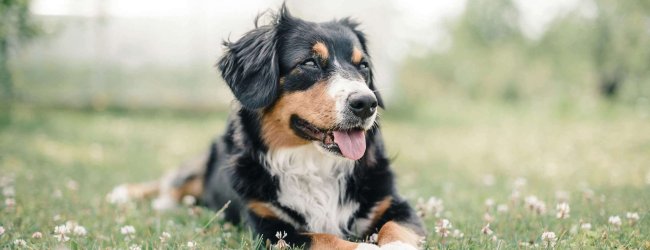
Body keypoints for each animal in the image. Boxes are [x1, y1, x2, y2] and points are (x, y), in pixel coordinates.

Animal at [107, 4, 426, 249]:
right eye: (310, 63)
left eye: (363, 66)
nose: (366, 103)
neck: (313, 164)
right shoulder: (268, 227)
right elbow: (325, 238)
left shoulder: (394, 203)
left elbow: (397, 228)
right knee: (171, 182)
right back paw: (129, 194)